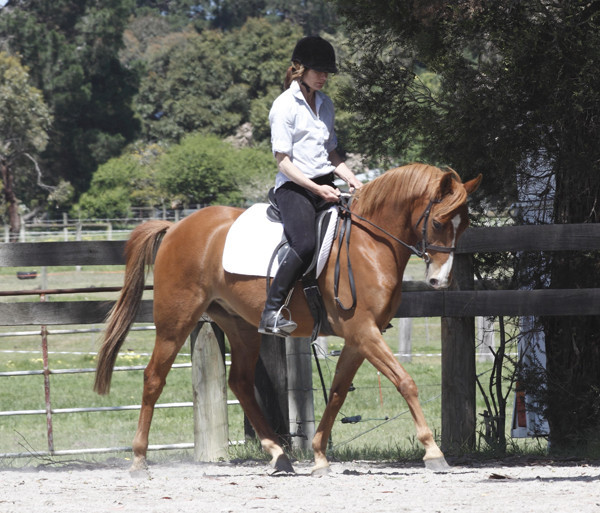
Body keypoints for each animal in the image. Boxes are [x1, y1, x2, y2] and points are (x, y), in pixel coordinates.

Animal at [96, 162, 482, 474]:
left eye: (464, 226)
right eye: (438, 222)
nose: (440, 281)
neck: (369, 243)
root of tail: (176, 227)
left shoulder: (359, 337)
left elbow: (337, 392)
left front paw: (320, 455)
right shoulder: (364, 331)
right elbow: (405, 382)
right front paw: (433, 452)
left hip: (241, 327)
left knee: (240, 382)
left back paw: (279, 455)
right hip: (176, 321)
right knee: (153, 378)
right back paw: (139, 460)